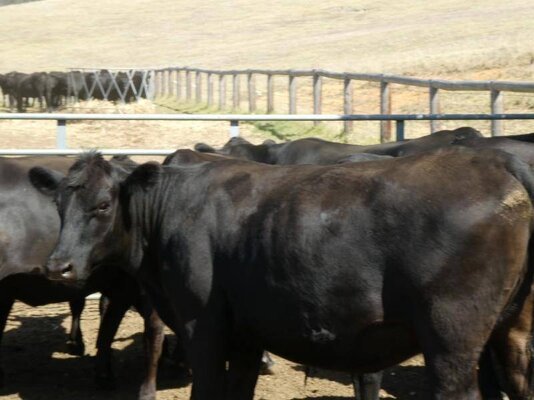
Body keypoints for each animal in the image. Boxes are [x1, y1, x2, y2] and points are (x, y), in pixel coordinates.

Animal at [31, 150, 534, 400]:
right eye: (59, 203)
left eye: (102, 205)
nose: (58, 266)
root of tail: (498, 162)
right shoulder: (246, 336)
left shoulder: (202, 326)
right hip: (510, 329)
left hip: (451, 342)